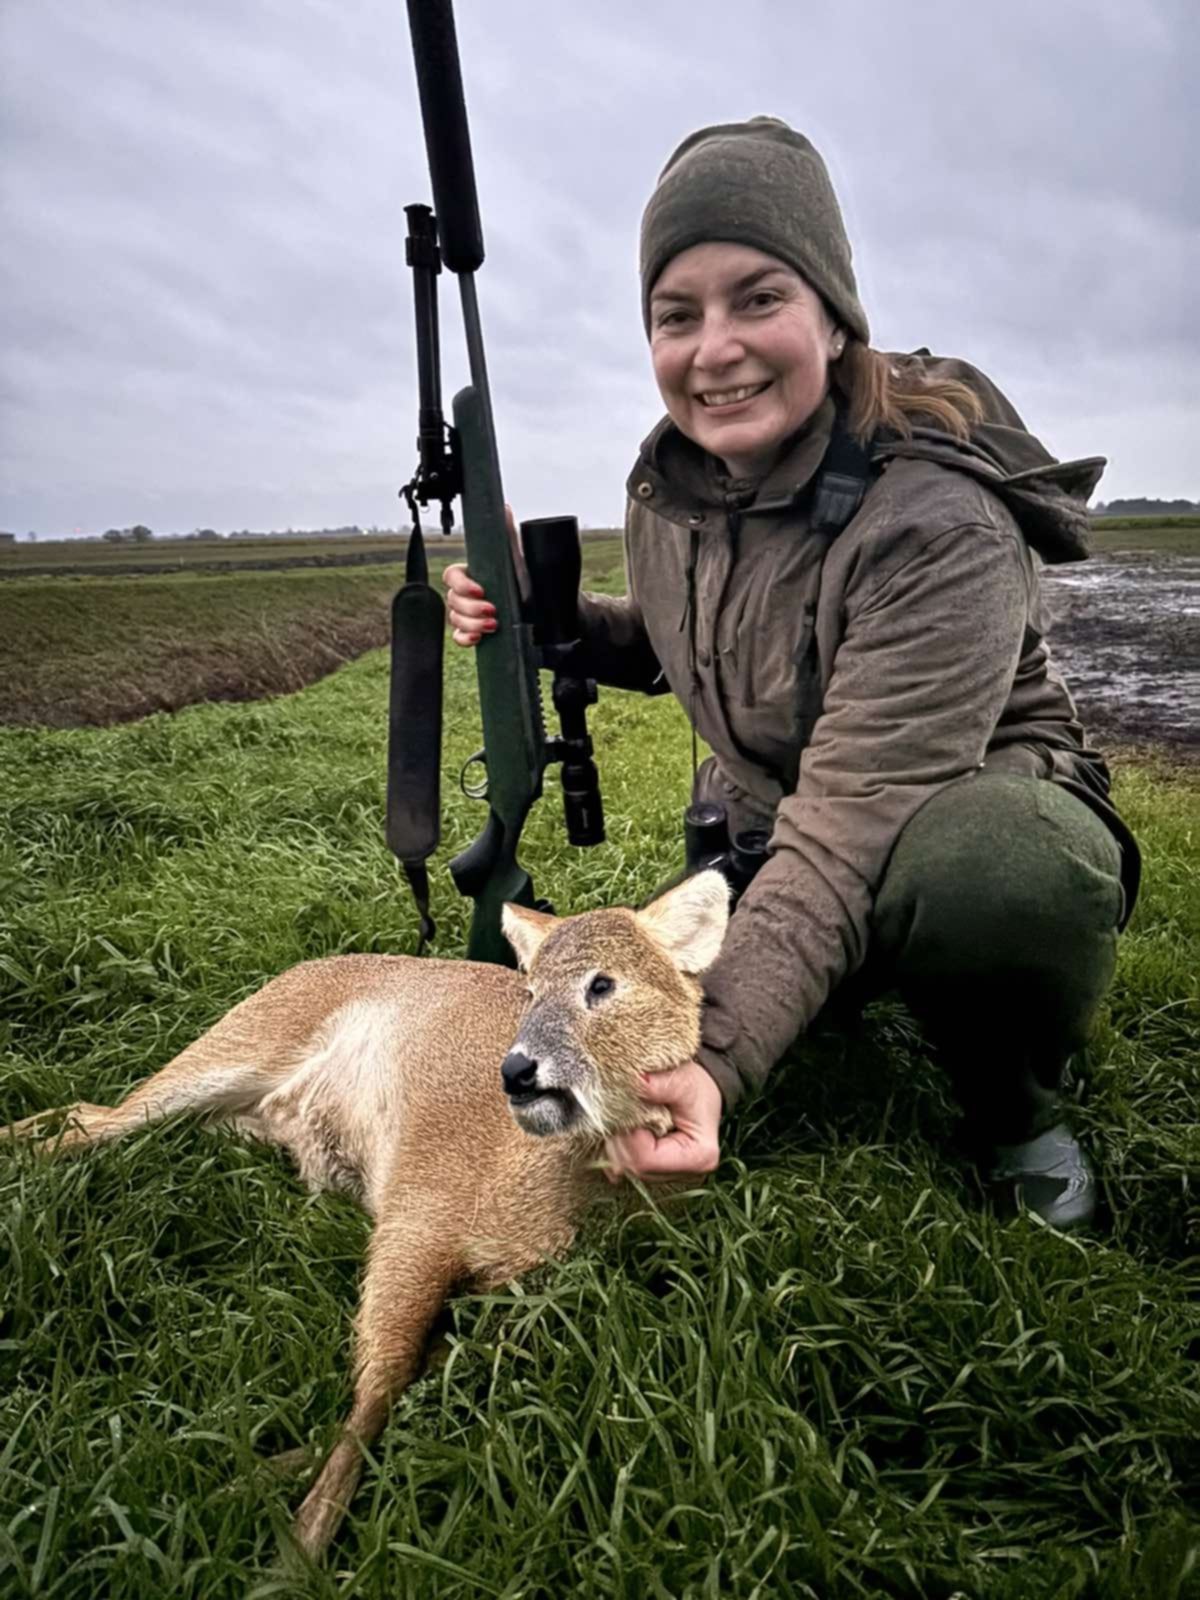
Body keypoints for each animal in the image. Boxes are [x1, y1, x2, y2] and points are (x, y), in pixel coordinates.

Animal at [0, 870, 730, 1561]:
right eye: (528, 992)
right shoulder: (419, 1205)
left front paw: (256, 1477)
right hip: (241, 1039)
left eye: (602, 985)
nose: (517, 1071)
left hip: (237, 1116)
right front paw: (298, 1542)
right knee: (97, 1115)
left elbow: (425, 1373)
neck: (552, 1199)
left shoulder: (521, 1291)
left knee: (101, 1115)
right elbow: (383, 1376)